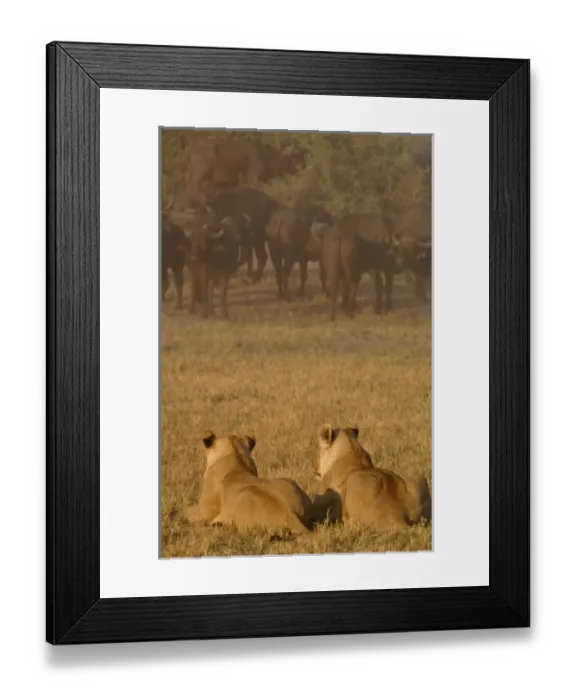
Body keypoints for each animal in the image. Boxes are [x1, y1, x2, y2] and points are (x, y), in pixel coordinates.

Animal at [176, 431, 317, 534]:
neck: (235, 457)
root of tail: (290, 515)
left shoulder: (202, 512)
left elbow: (182, 511)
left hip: (245, 496)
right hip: (288, 481)